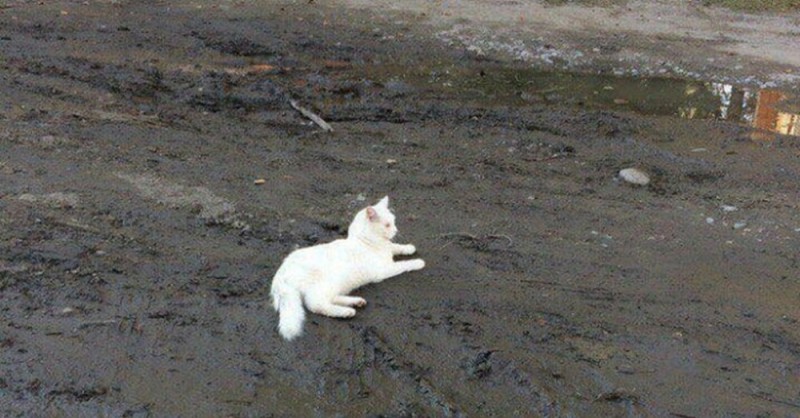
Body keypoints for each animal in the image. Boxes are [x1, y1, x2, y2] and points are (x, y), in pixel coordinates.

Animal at [270, 196, 424, 340]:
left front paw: (409, 248)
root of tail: (281, 271)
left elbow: (395, 247)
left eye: (394, 221)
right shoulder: (384, 270)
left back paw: (356, 302)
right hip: (327, 284)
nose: (396, 230)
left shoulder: (388, 250)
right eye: (387, 225)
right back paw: (346, 312)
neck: (365, 241)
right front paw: (418, 262)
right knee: (316, 304)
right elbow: (404, 264)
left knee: (330, 298)